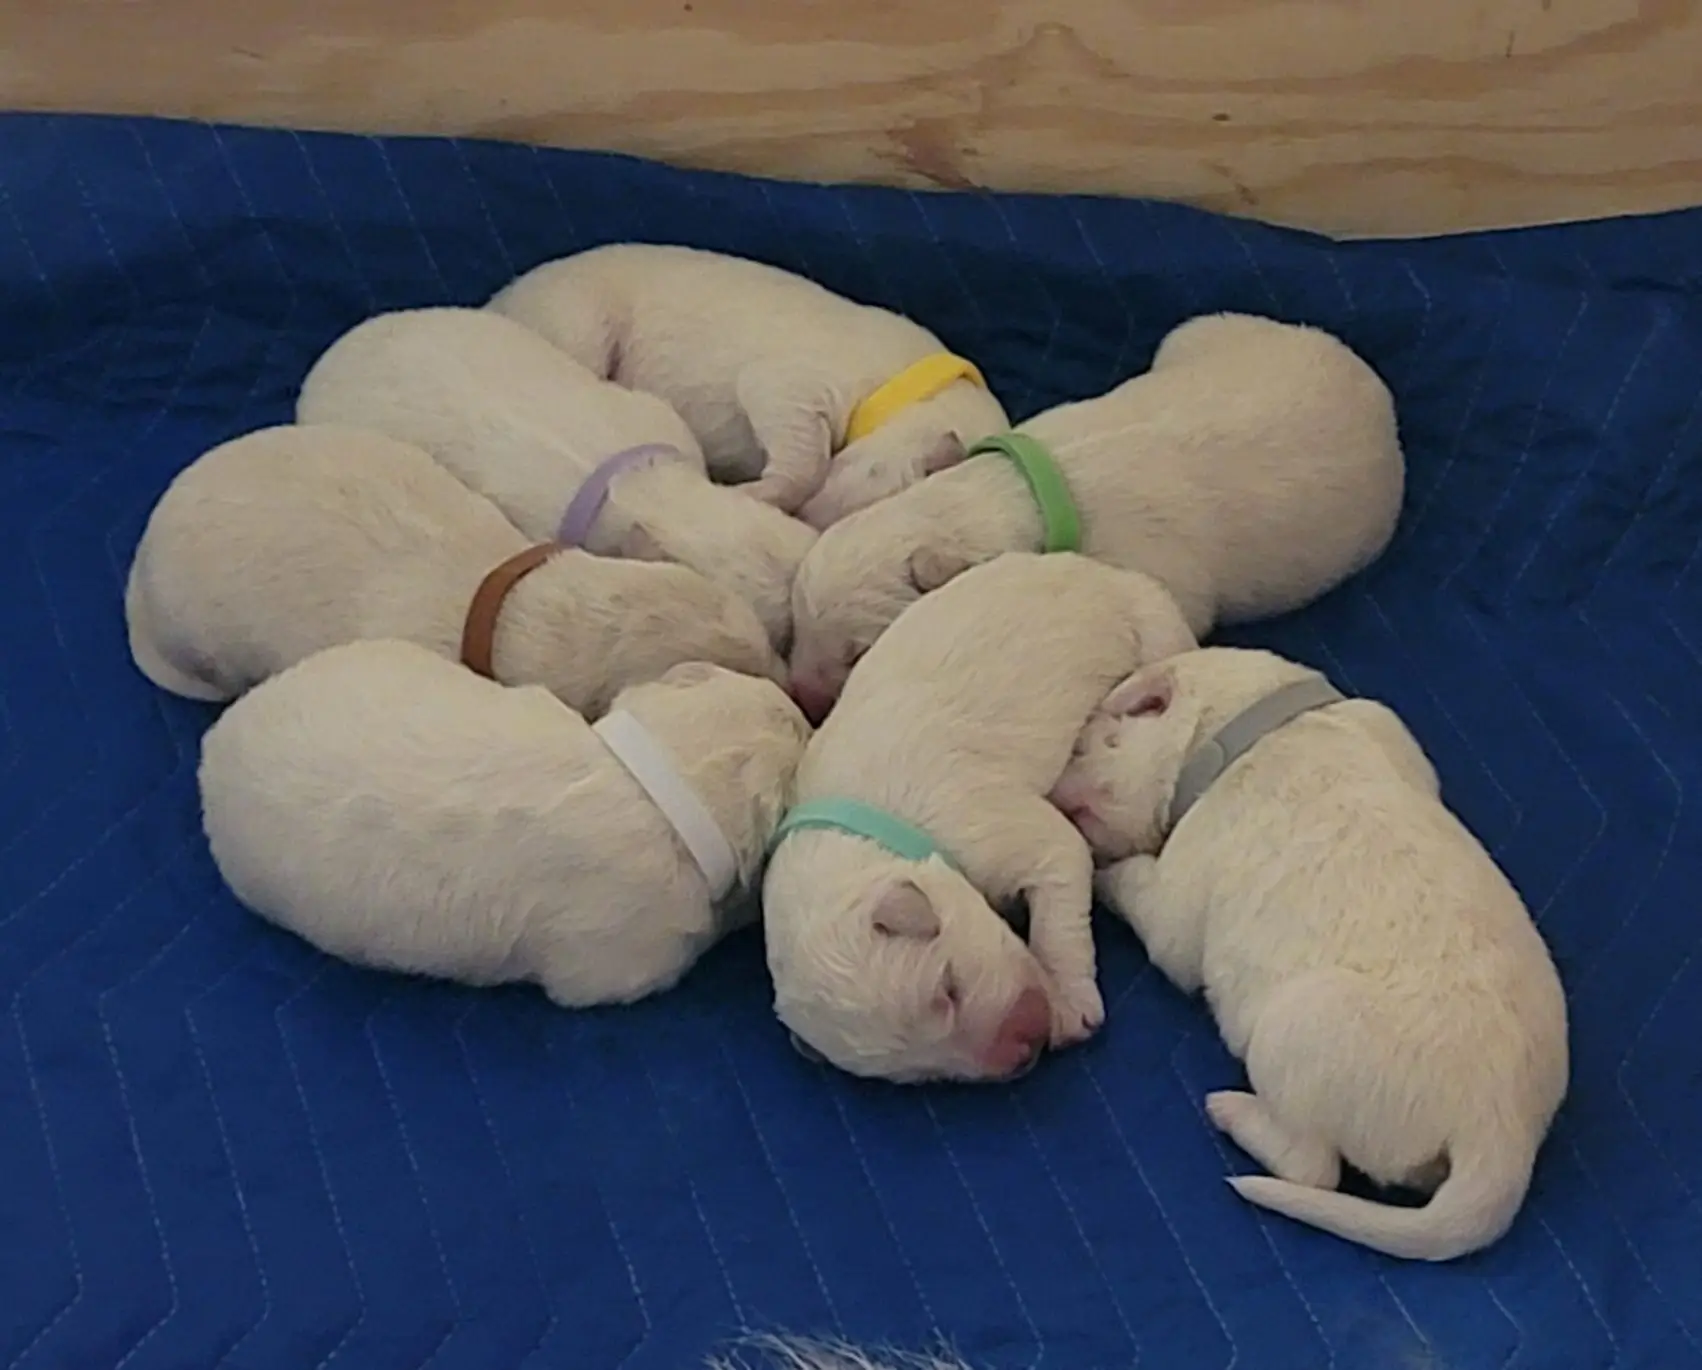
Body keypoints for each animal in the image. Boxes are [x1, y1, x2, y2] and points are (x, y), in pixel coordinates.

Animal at [488, 243, 1009, 523]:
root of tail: (496, 303)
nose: (806, 523)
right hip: (574, 315)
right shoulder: (794, 384)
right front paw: (753, 495)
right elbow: (803, 458)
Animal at [763, 552, 1197, 1082]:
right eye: (924, 1075)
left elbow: (1061, 890)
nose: (1024, 1048)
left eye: (947, 989)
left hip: (1156, 631)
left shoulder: (993, 828)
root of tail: (1100, 570)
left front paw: (1070, 1002)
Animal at [1049, 646, 1568, 1260]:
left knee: (1313, 1167)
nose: (1052, 795)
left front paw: (1098, 867)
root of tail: (1502, 1139)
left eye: (1085, 745)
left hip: (1295, 1029)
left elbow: (1145, 898)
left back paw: (1233, 1111)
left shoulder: (1179, 888)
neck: (1256, 722)